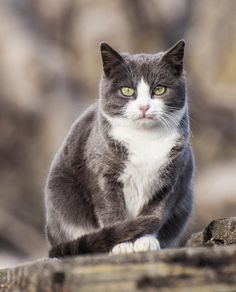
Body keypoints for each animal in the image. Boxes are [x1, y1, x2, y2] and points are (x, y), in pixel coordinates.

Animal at [45, 39, 194, 258]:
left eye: (159, 90)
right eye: (127, 91)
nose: (144, 107)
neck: (144, 140)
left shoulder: (171, 179)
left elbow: (156, 210)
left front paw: (145, 241)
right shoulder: (102, 173)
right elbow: (111, 210)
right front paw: (121, 245)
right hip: (61, 196)